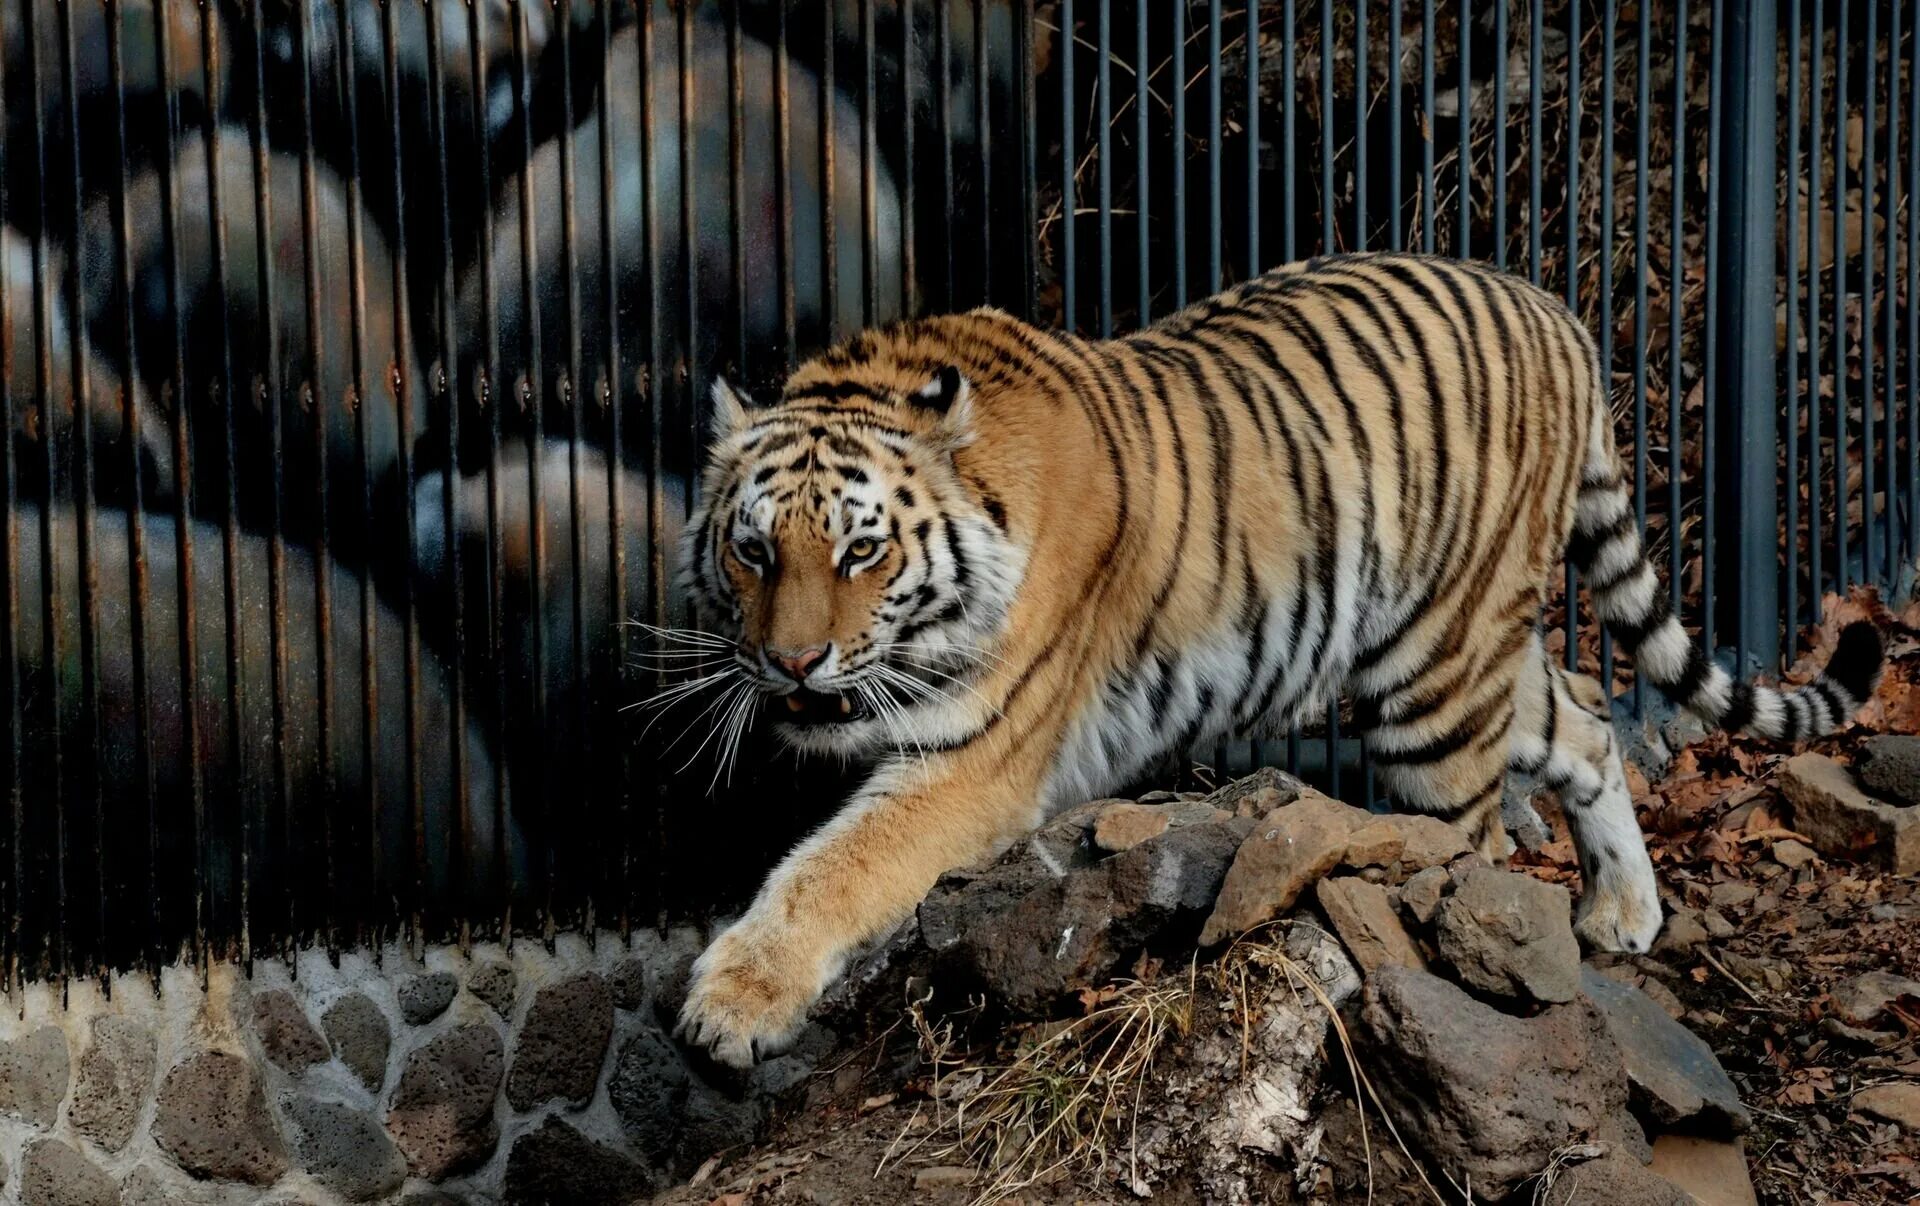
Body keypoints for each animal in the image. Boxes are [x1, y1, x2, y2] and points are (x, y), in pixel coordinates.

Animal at [668, 253, 1881, 1067]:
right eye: (753, 549)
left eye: (862, 550)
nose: (791, 663)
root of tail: (1555, 311)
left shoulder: (976, 758)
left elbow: (835, 867)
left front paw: (731, 1004)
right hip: (1473, 640)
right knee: (1585, 716)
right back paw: (1625, 910)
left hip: (1436, 680)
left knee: (1475, 842)